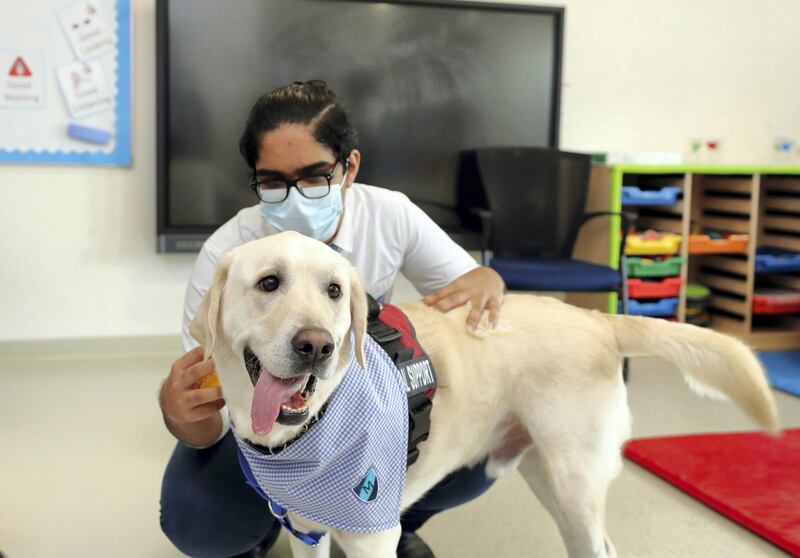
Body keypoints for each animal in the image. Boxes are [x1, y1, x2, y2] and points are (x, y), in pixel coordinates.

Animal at [189, 231, 780, 558]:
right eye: (269, 283)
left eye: (334, 291)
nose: (319, 346)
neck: (305, 433)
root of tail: (596, 319)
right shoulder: (308, 531)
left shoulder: (372, 537)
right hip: (548, 476)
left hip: (575, 478)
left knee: (603, 547)